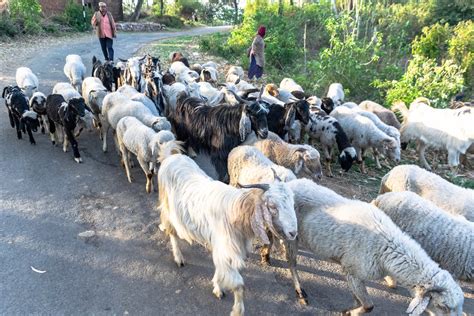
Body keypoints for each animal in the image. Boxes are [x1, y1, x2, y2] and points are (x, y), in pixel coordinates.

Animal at [284, 179, 464, 314]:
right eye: (442, 306)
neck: (387, 248)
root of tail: (291, 183)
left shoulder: (355, 275)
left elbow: (360, 300)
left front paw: (351, 308)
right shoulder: (352, 271)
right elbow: (369, 305)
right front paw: (349, 312)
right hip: (291, 236)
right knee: (292, 263)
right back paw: (300, 293)